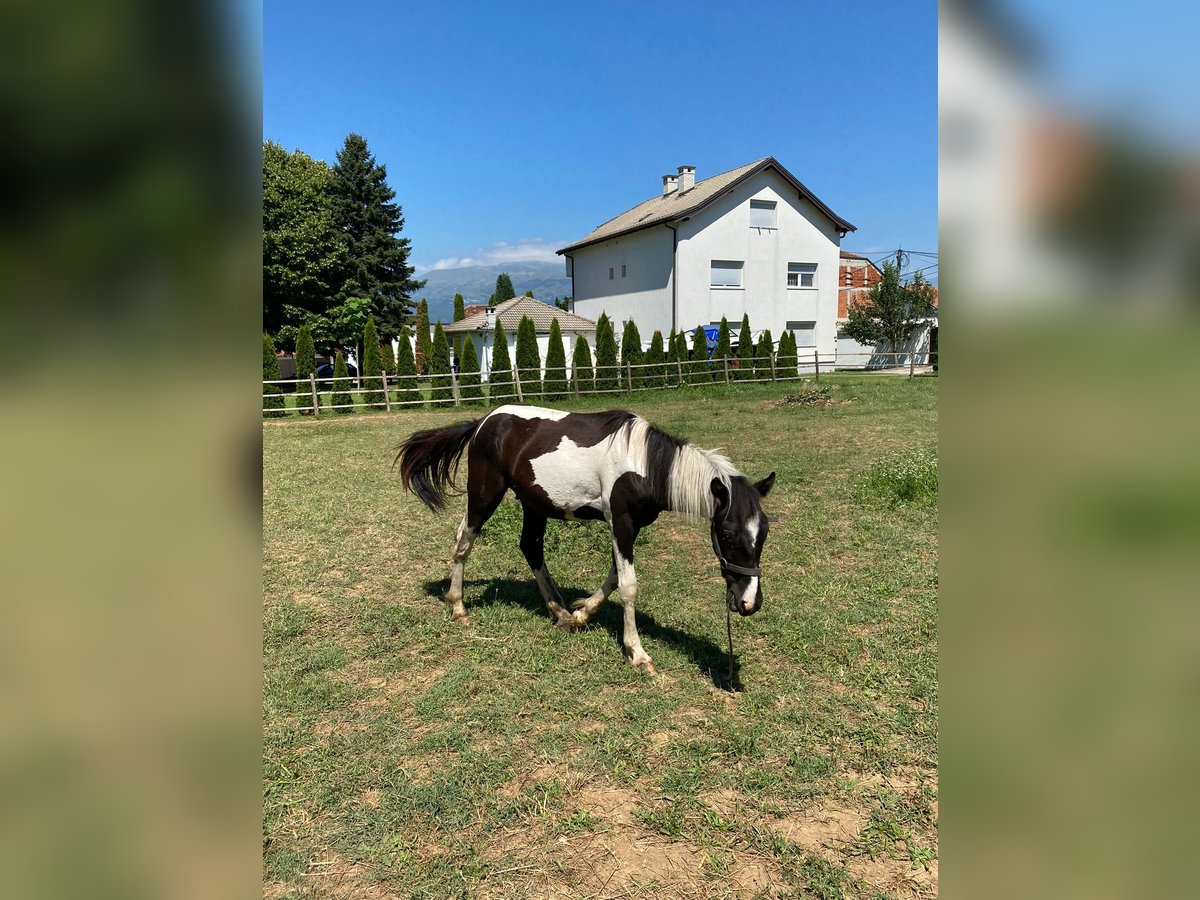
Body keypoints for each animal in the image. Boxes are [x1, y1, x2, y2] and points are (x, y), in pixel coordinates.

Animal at [388, 405, 772, 672]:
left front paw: (581, 614)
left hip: (533, 504)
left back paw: (558, 611)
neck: (644, 463)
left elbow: (615, 577)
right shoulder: (621, 522)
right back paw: (458, 606)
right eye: (727, 534)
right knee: (463, 541)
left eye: (764, 533)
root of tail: (484, 421)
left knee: (530, 547)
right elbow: (629, 585)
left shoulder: (630, 526)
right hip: (485, 494)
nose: (749, 602)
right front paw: (637, 652)